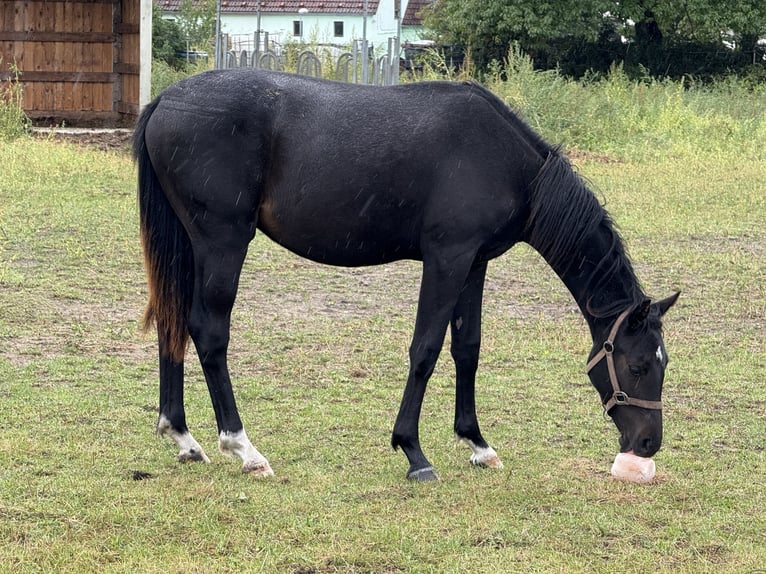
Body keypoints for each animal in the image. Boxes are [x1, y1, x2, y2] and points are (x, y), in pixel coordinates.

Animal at [133, 68, 679, 481]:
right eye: (636, 365)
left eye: (663, 361)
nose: (647, 444)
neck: (502, 159)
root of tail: (166, 99)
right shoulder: (446, 259)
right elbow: (426, 349)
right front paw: (413, 451)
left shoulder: (475, 262)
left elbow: (467, 348)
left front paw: (477, 443)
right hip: (222, 241)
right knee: (208, 331)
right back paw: (243, 448)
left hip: (188, 243)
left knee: (171, 322)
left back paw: (183, 438)